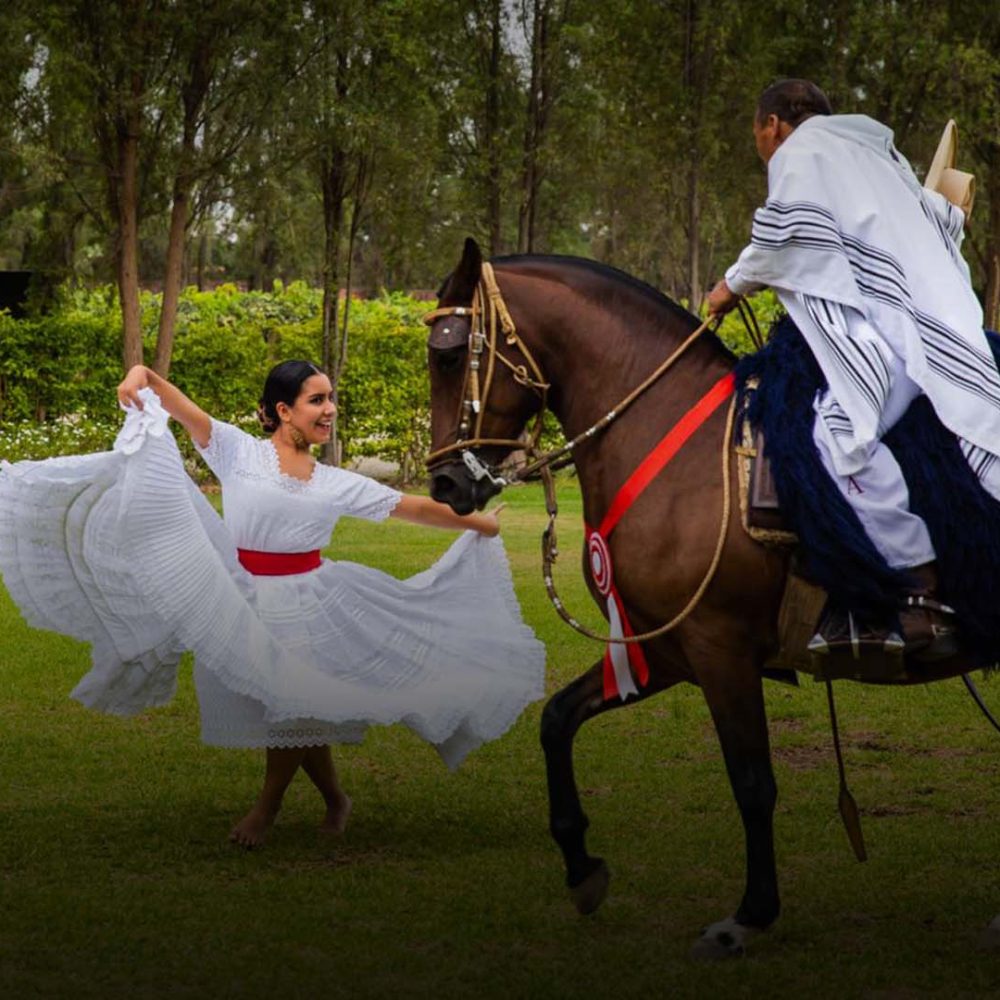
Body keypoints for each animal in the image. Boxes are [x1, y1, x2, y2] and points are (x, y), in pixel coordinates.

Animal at [426, 238, 980, 956]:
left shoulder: (720, 648)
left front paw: (750, 913)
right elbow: (557, 719)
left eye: (446, 355)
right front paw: (580, 866)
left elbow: (752, 781)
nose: (444, 485)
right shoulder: (664, 647)